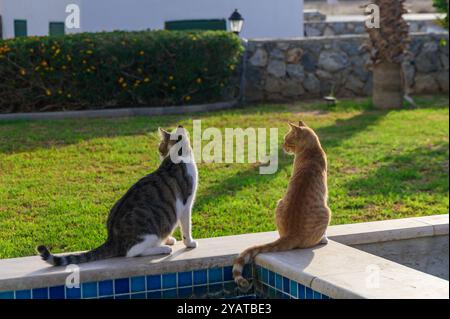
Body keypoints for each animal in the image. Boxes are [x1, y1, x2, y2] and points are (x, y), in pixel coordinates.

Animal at [37, 126, 200, 266]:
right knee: (132, 252)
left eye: (161, 148)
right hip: (148, 233)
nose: (160, 155)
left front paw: (169, 239)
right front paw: (189, 243)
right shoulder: (186, 204)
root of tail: (111, 239)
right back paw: (162, 249)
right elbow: (186, 227)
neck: (177, 158)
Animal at [232, 120, 330, 290]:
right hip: (327, 211)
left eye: (287, 140)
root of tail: (290, 234)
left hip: (279, 203)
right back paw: (323, 239)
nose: (283, 146)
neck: (311, 150)